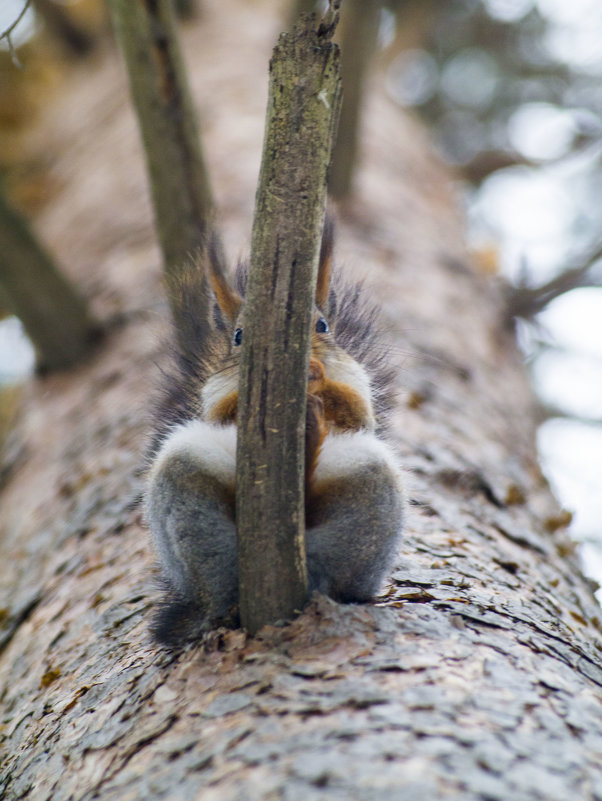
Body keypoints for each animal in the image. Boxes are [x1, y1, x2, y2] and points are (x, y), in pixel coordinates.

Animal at [143, 217, 400, 644]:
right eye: (238, 336)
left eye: (323, 325)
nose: (305, 358)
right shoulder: (215, 400)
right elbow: (226, 412)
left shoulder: (358, 395)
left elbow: (354, 412)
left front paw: (318, 378)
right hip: (188, 486)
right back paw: (224, 599)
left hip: (366, 489)